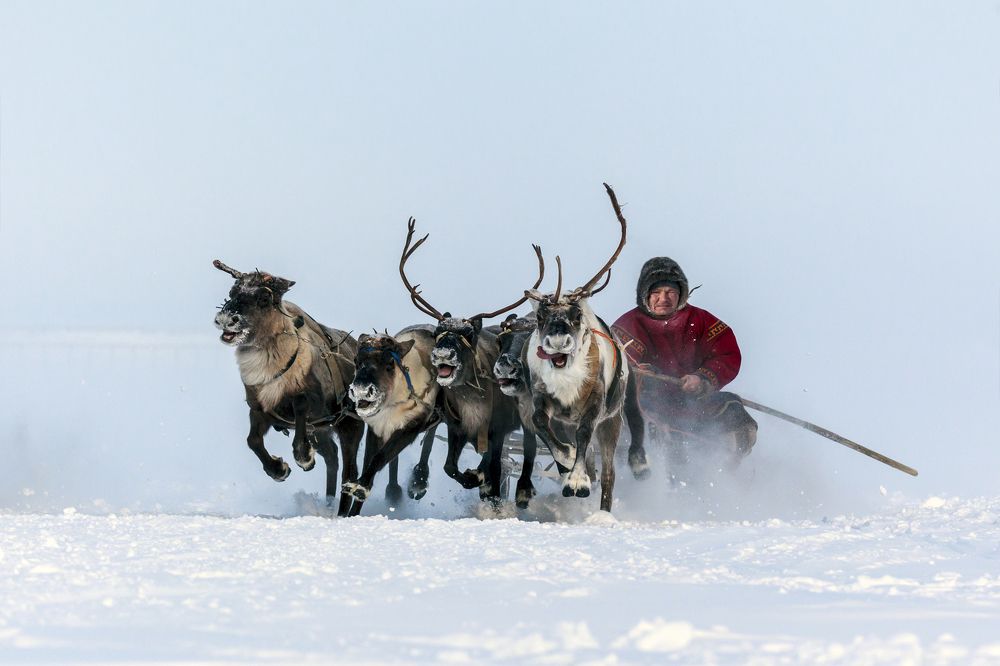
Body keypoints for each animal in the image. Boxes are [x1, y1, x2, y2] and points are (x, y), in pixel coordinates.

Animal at [212, 260, 367, 516]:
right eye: (233, 291)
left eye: (264, 297)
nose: (226, 319)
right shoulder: (260, 410)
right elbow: (252, 441)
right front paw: (279, 469)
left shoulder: (314, 406)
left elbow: (300, 404)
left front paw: (304, 457)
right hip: (322, 432)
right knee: (333, 457)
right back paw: (328, 503)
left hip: (349, 425)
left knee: (350, 471)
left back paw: (343, 513)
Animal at [398, 218, 546, 504]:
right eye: (438, 330)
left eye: (468, 333)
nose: (442, 354)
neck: (471, 397)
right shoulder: (457, 427)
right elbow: (450, 467)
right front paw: (473, 478)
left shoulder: (498, 429)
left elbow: (494, 464)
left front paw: (487, 486)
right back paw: (419, 481)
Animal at [522, 184, 649, 513]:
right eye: (540, 317)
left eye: (576, 315)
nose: (557, 343)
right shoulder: (543, 399)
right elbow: (541, 424)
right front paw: (567, 460)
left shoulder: (595, 402)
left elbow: (584, 433)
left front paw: (576, 482)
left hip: (613, 420)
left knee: (608, 472)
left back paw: (602, 509)